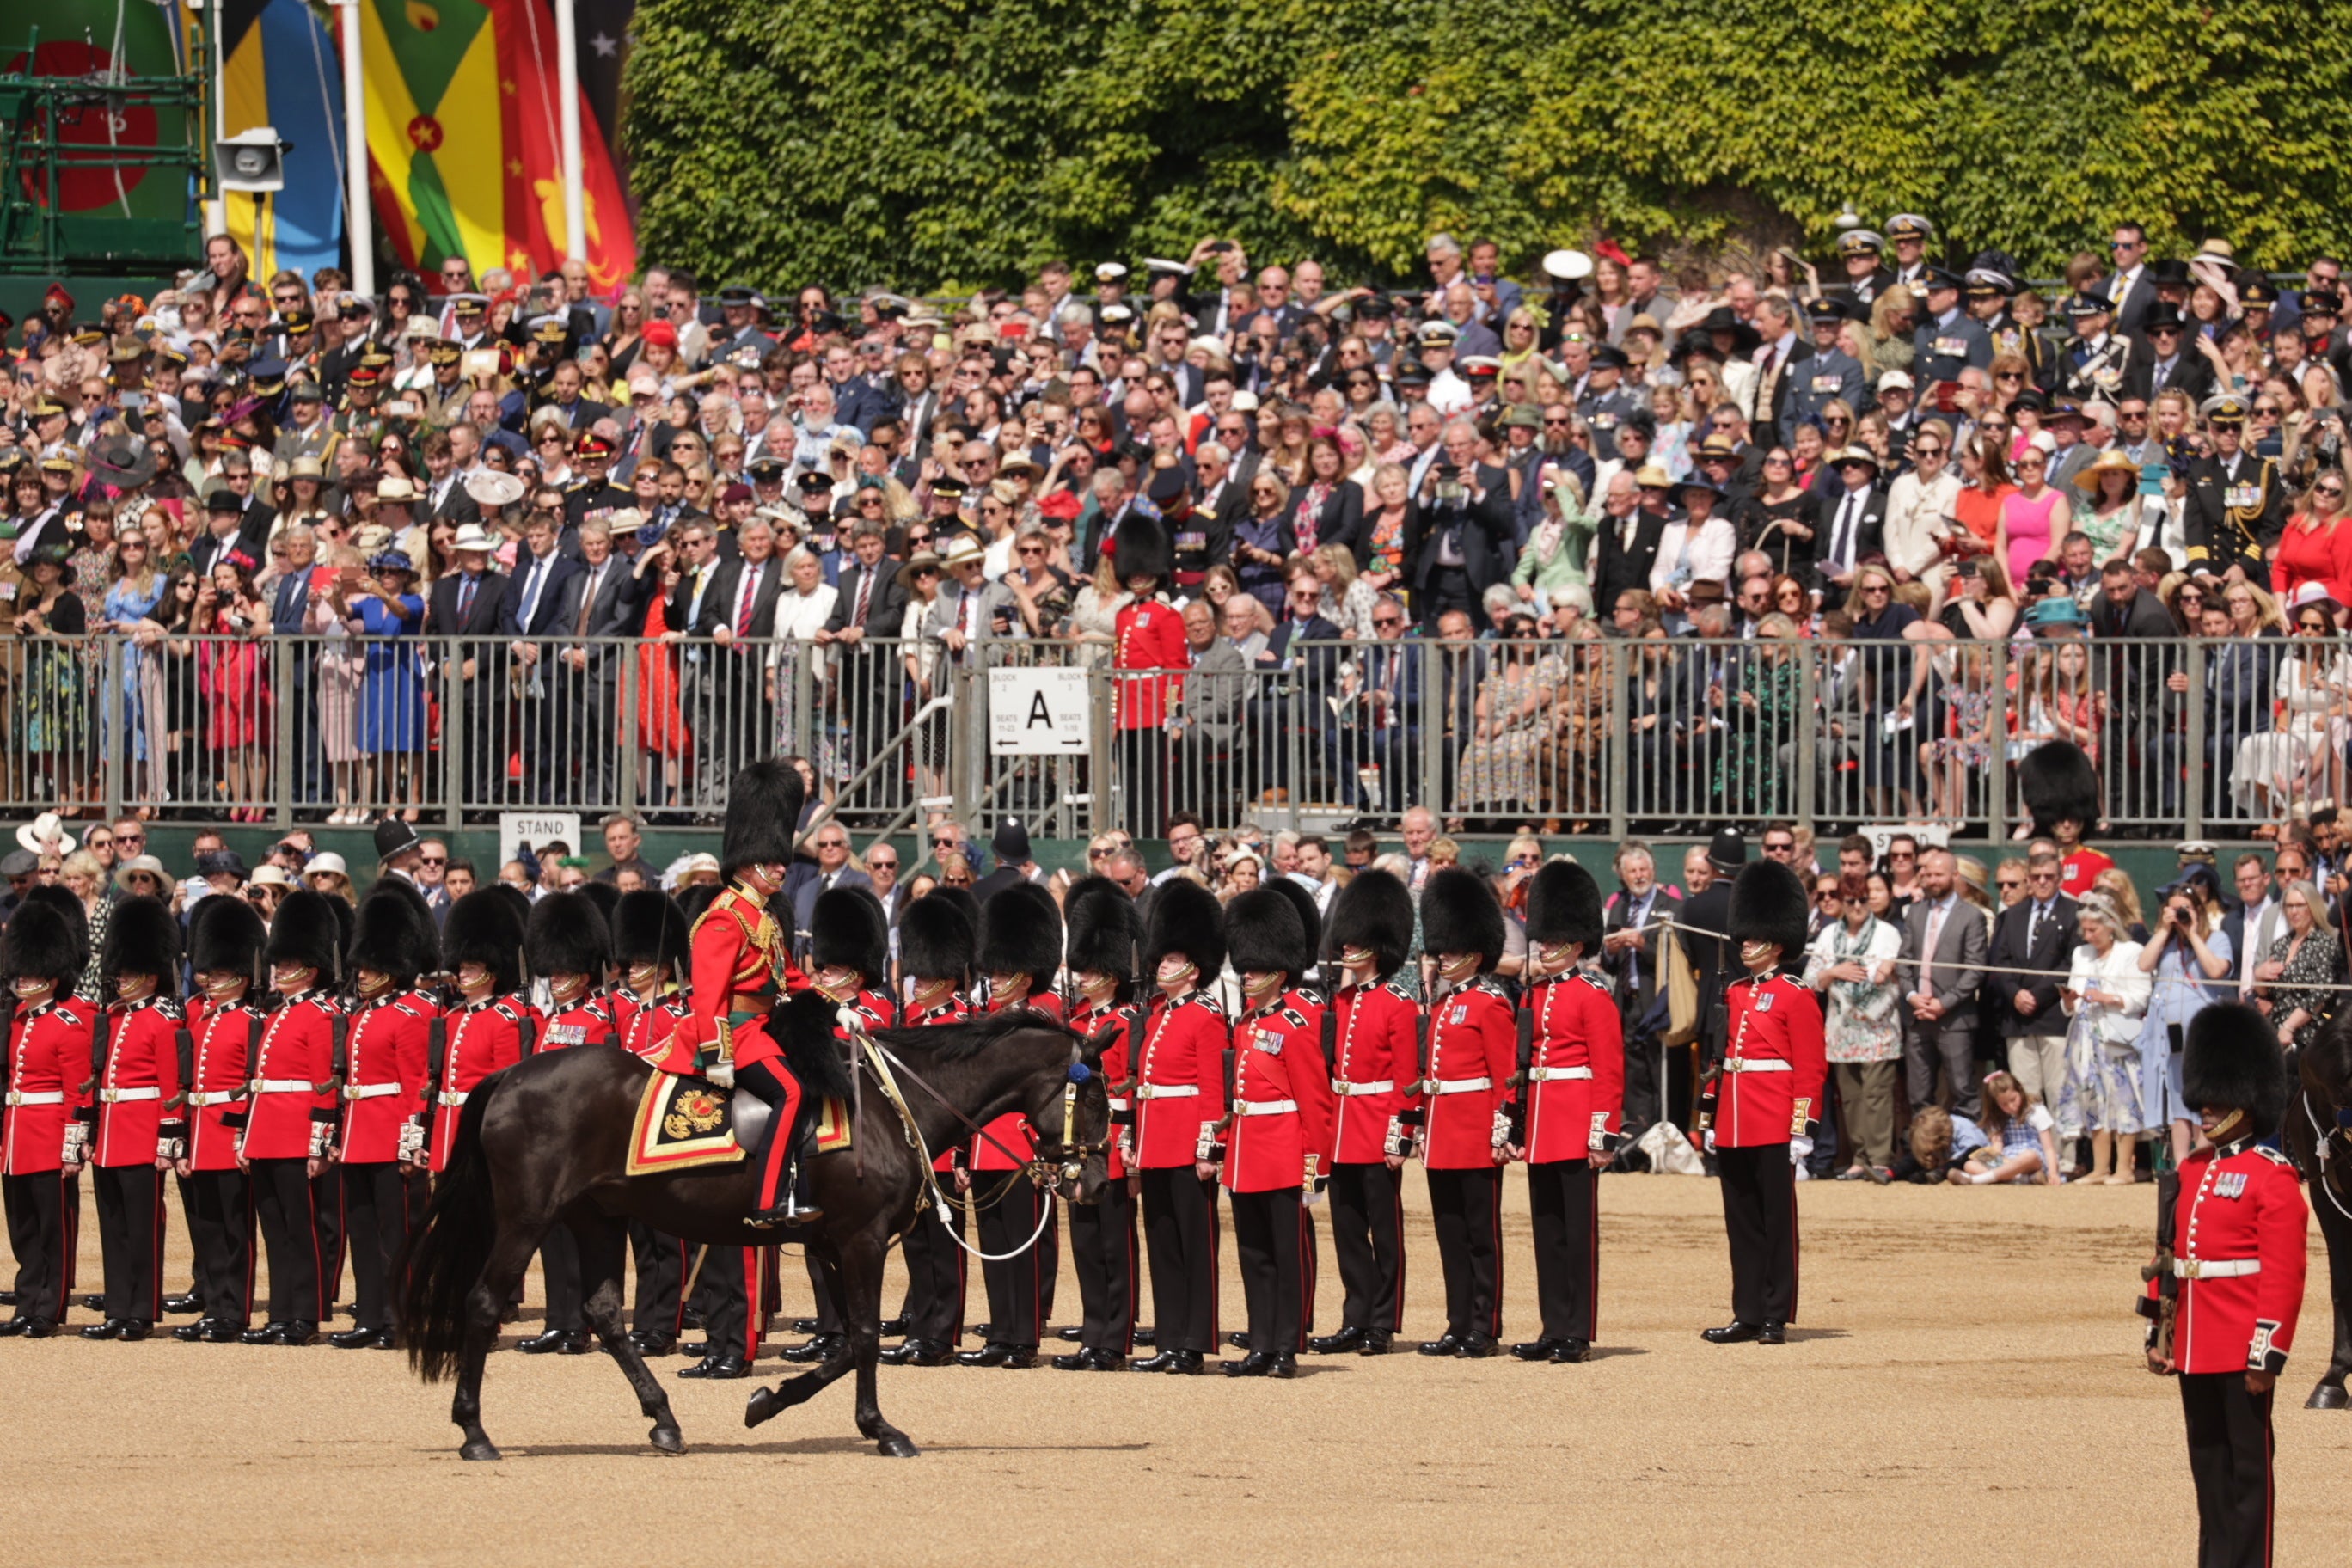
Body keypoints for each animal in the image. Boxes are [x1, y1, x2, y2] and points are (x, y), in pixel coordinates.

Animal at [400, 992, 1105, 1457]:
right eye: (1095, 1096)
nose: (1094, 1183)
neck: (891, 1105)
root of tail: (510, 1075)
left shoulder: (830, 1241)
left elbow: (844, 1341)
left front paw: (769, 1403)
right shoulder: (861, 1239)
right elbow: (864, 1335)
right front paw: (881, 1430)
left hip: (594, 1216)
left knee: (602, 1313)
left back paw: (664, 1421)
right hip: (528, 1217)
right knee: (483, 1301)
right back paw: (475, 1432)